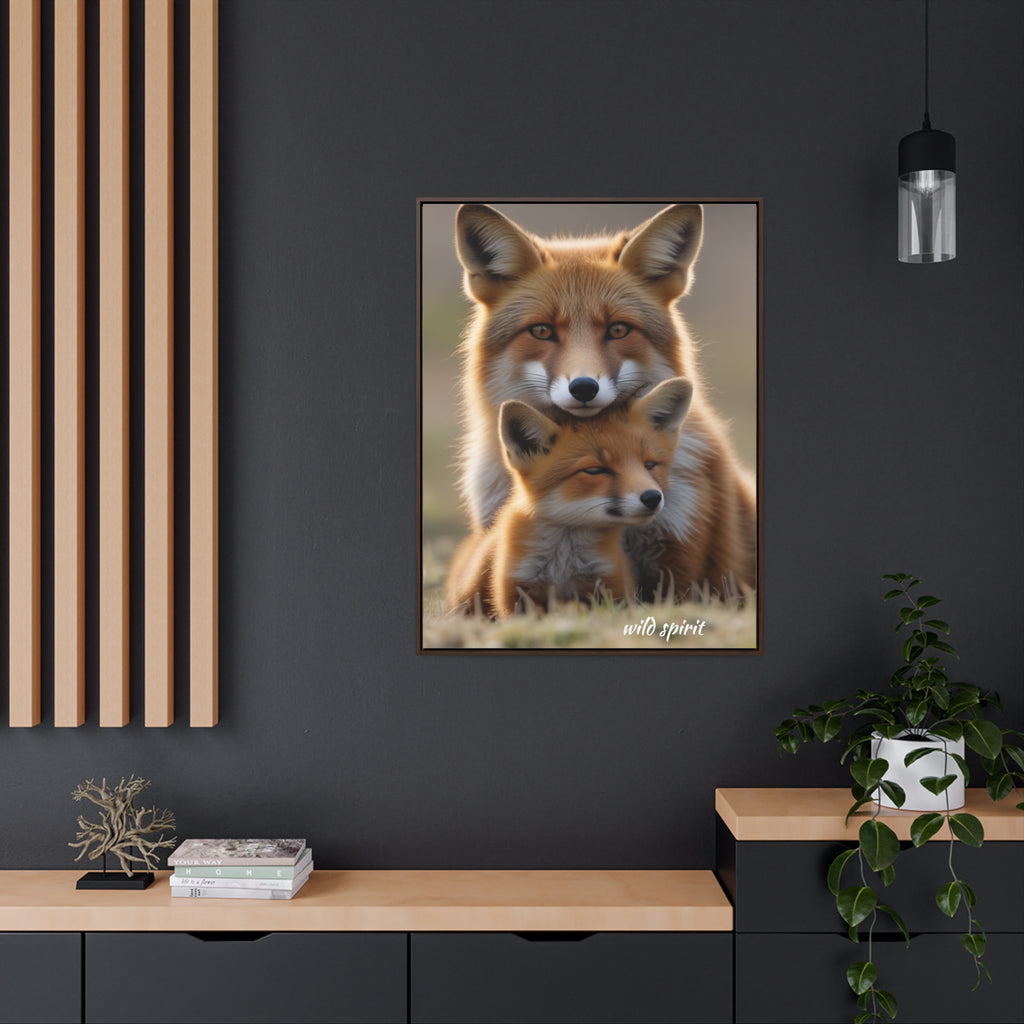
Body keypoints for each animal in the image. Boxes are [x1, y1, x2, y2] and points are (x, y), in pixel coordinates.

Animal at [447, 377, 693, 618]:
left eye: (650, 465)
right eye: (595, 470)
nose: (652, 497)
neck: (564, 563)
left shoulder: (611, 587)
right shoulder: (516, 593)